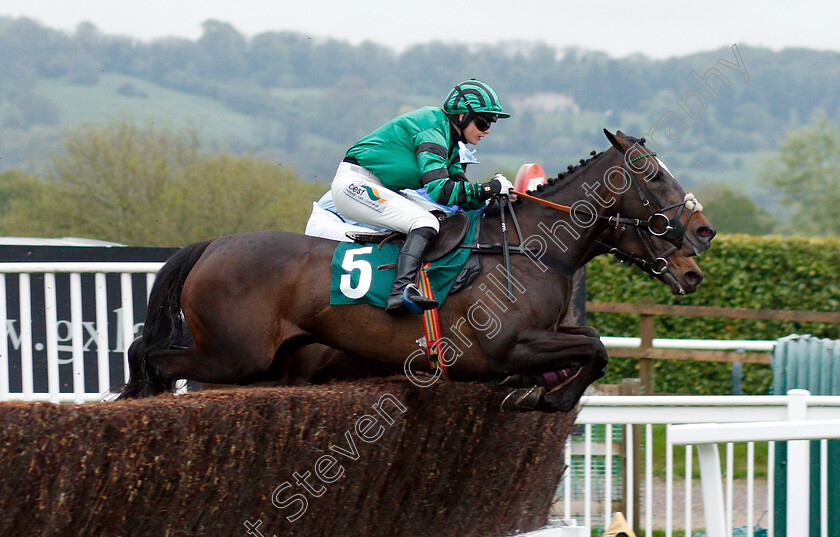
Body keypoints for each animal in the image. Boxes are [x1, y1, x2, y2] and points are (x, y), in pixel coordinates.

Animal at [113, 129, 716, 410]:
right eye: (653, 176)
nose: (702, 237)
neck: (526, 248)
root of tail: (211, 246)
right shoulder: (507, 345)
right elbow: (595, 349)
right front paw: (547, 397)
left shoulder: (537, 338)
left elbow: (591, 342)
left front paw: (540, 392)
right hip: (233, 354)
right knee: (149, 354)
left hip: (262, 364)